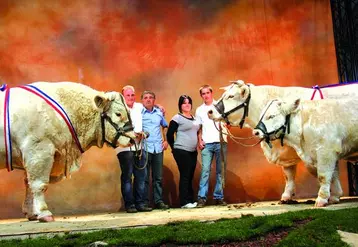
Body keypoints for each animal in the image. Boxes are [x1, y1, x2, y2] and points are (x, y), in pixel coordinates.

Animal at [0, 81, 134, 222]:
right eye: (118, 114)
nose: (133, 138)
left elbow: (28, 183)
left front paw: (31, 213)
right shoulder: (38, 150)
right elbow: (39, 184)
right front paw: (43, 212)